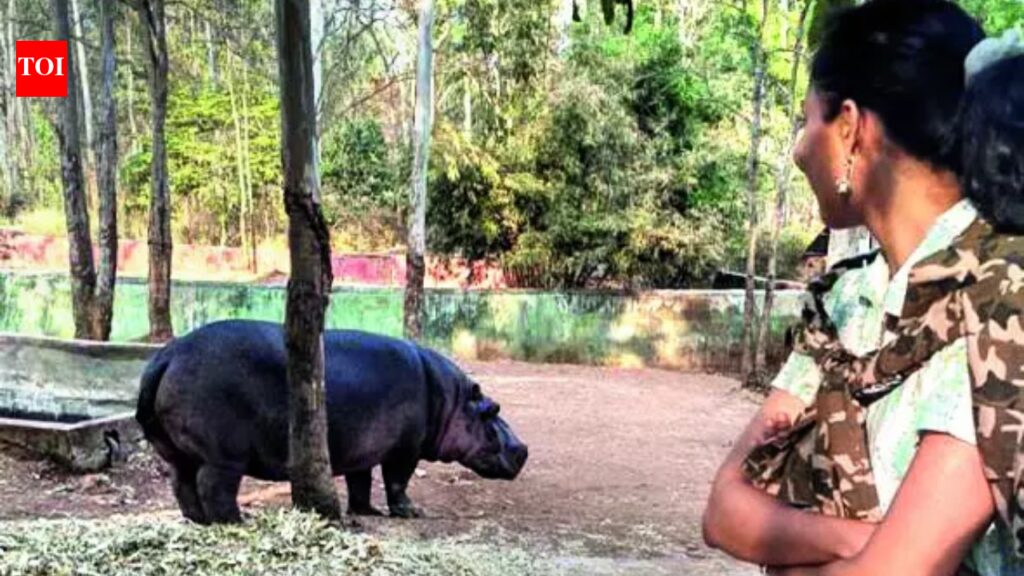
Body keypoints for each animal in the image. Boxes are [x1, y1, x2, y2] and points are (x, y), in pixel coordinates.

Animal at [135, 320, 528, 524]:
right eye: (492, 410)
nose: (523, 449)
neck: (451, 400)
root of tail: (167, 356)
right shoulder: (405, 450)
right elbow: (397, 482)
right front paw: (412, 512)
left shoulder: (364, 449)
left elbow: (360, 483)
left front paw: (366, 511)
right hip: (224, 455)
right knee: (213, 486)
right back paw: (238, 521)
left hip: (177, 451)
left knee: (182, 483)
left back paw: (197, 520)